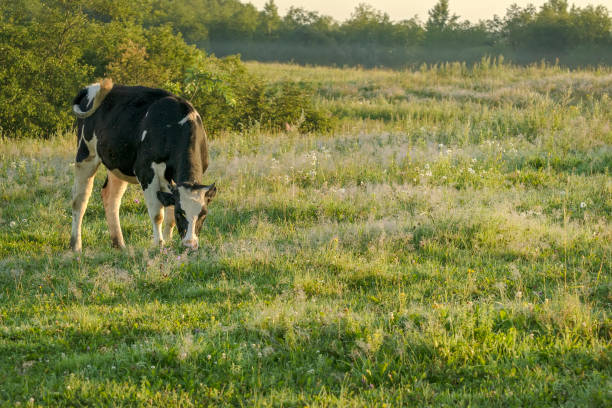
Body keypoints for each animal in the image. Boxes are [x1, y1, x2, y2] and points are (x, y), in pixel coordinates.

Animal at [69, 79, 216, 252]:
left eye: (203, 214)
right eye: (181, 213)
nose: (190, 244)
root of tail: (91, 86)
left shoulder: (172, 183)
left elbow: (170, 216)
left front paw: (168, 242)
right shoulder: (146, 172)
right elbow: (158, 215)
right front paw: (159, 244)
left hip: (118, 163)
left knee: (111, 197)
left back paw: (119, 244)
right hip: (85, 154)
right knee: (80, 200)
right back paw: (76, 246)